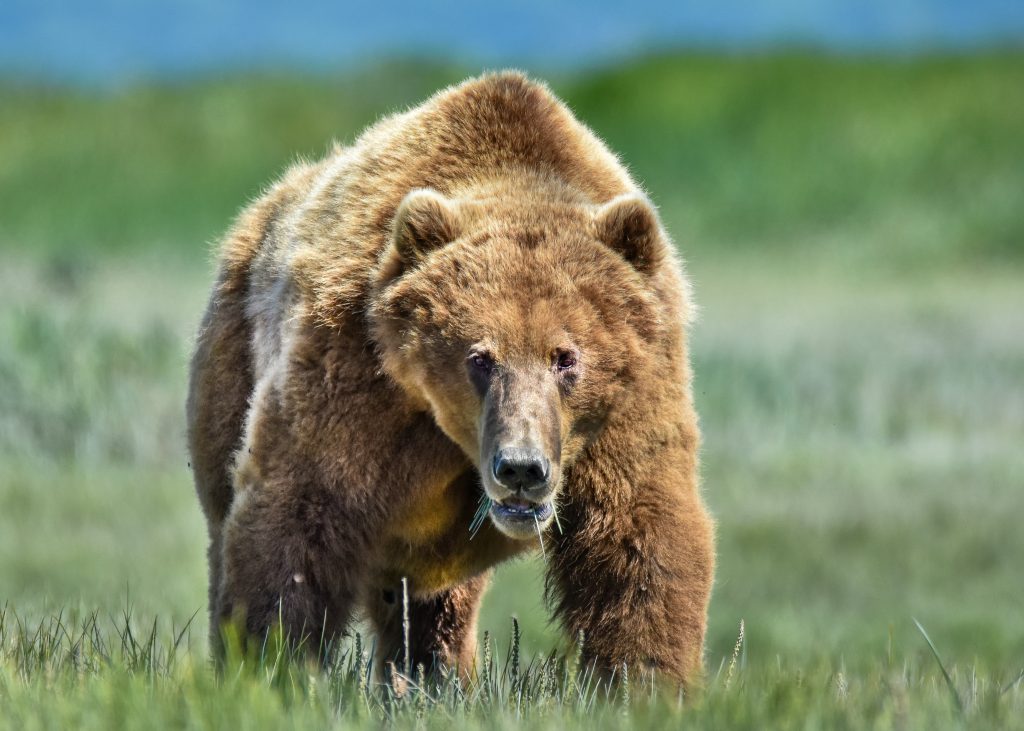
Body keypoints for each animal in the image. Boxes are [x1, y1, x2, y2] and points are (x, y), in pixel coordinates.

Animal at [187, 71, 714, 687]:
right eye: (479, 357)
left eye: (566, 358)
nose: (521, 468)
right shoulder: (359, 373)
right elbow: (301, 509)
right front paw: (271, 666)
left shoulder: (634, 396)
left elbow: (639, 536)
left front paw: (643, 683)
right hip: (233, 354)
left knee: (437, 604)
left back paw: (432, 674)